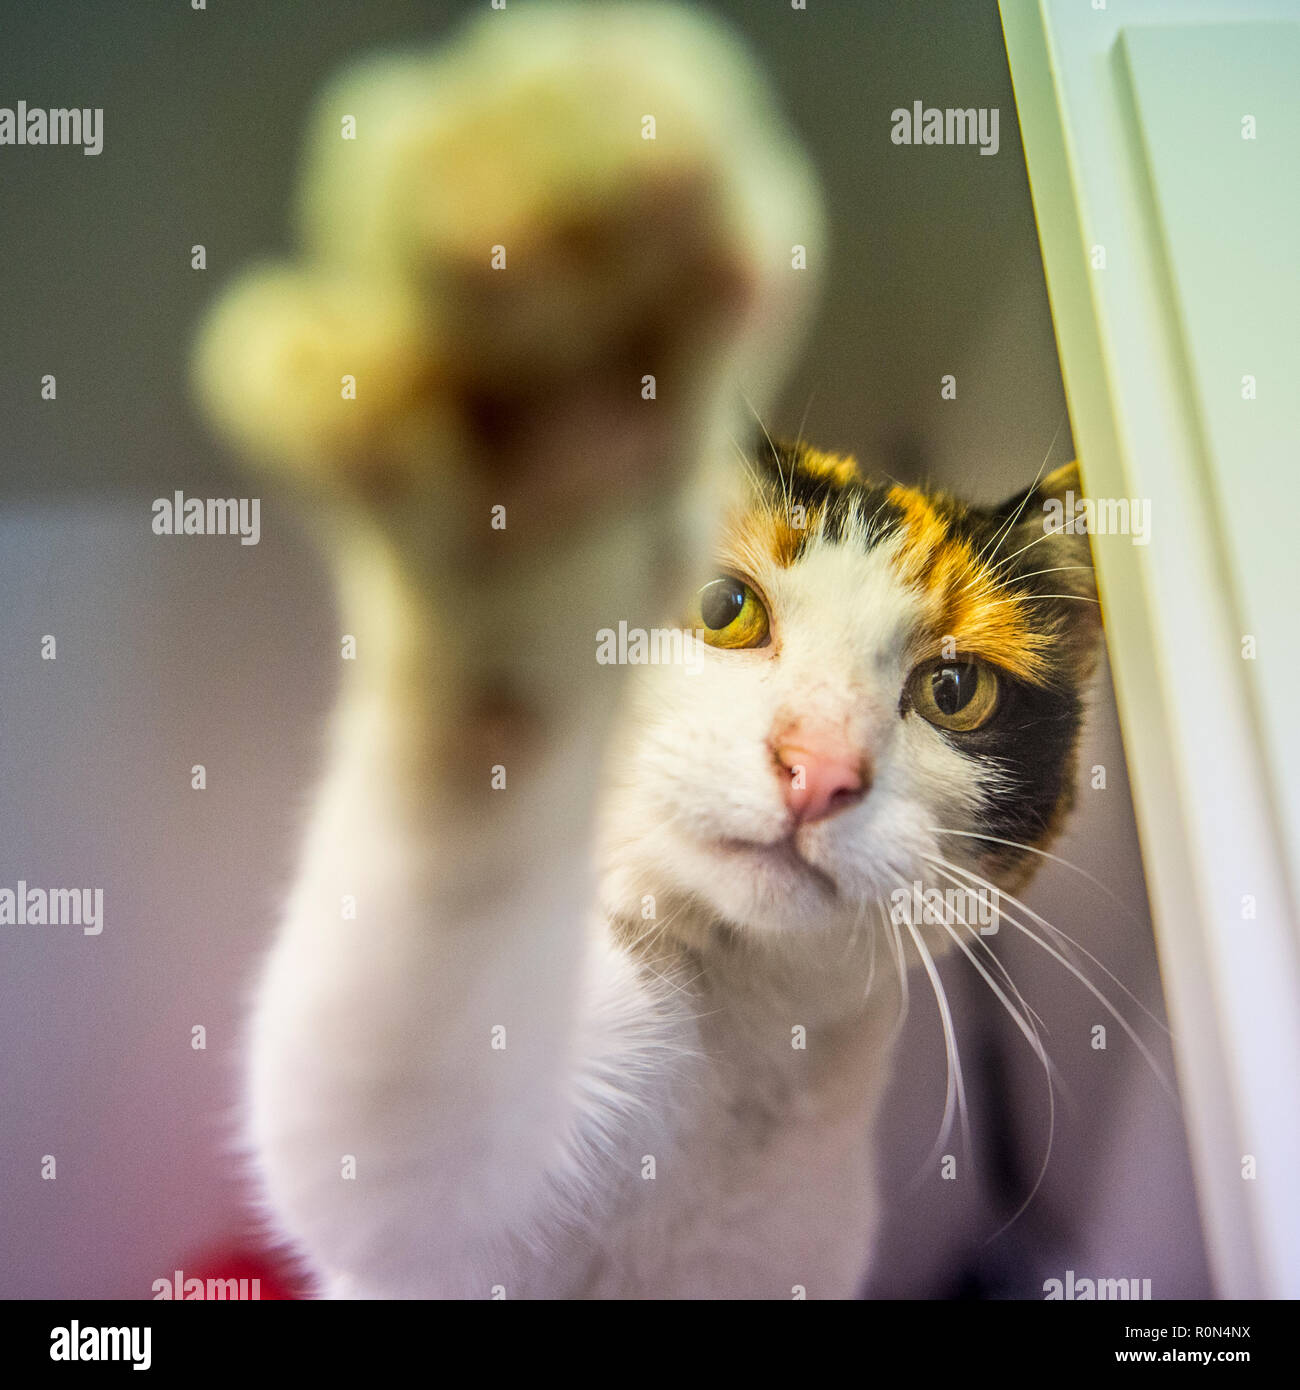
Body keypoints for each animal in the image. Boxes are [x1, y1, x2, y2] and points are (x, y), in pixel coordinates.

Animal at [196, 2, 1095, 1301]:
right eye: (721, 605)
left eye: (954, 689)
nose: (817, 767)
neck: (735, 1058)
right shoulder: (435, 1190)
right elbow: (392, 1085)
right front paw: (546, 406)